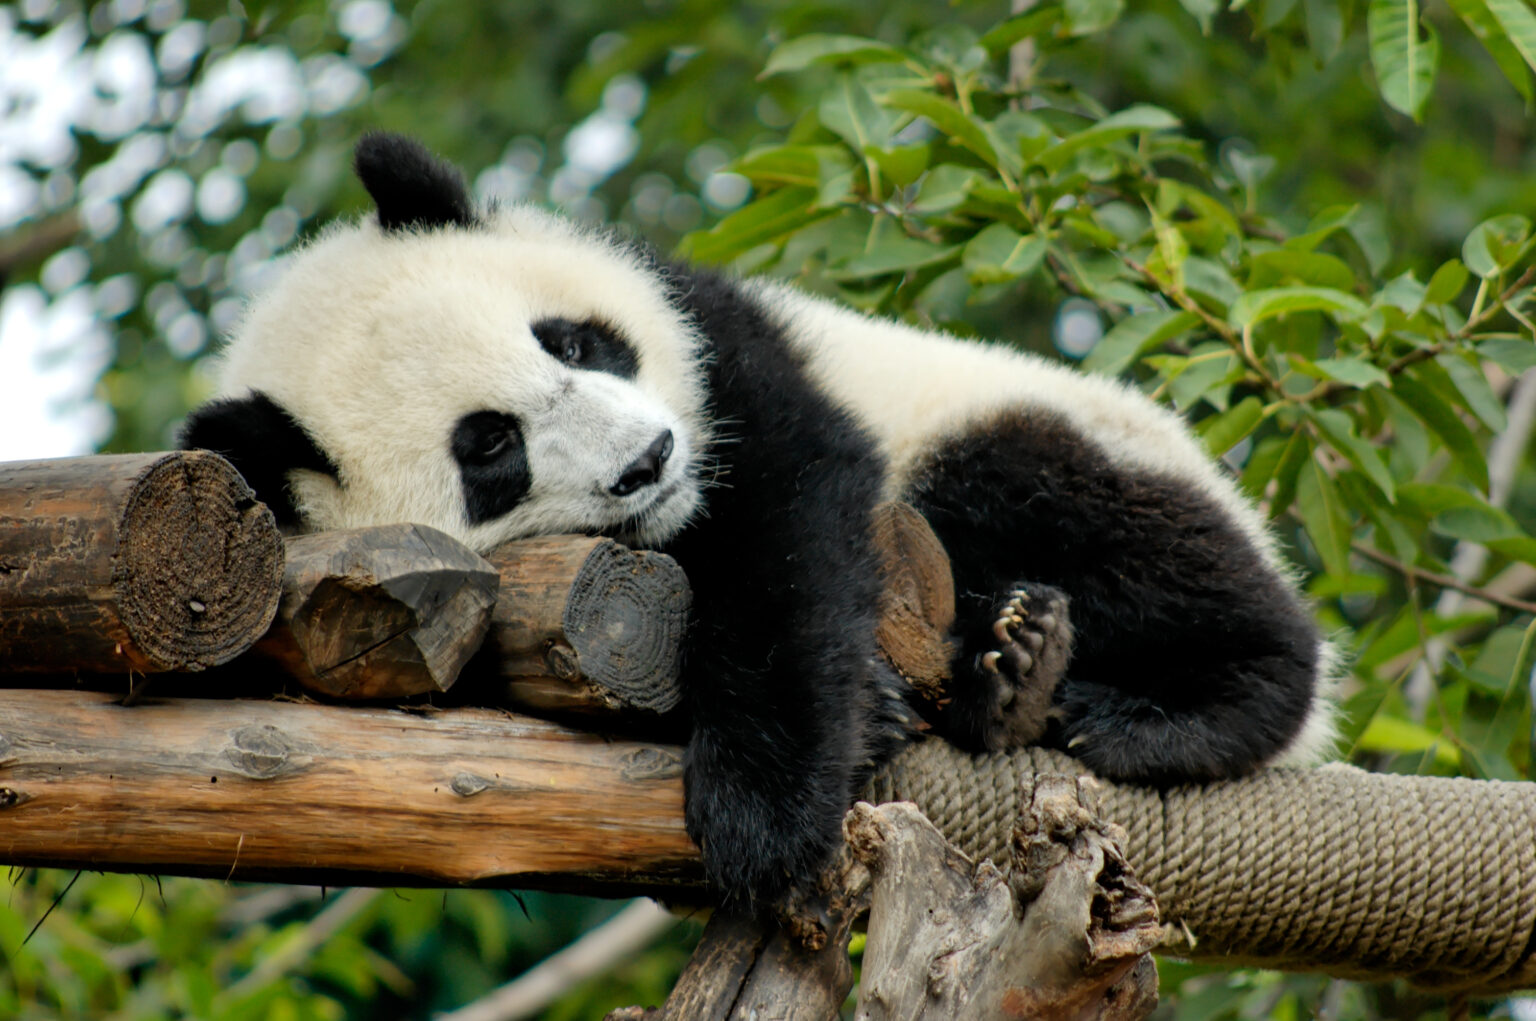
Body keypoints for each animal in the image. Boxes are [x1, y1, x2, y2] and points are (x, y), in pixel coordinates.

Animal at [183, 133, 1335, 910]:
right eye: (491, 448)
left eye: (571, 341)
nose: (649, 460)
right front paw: (860, 727)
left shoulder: (723, 350)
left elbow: (792, 530)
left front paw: (764, 809)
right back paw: (1011, 681)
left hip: (1035, 430)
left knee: (1082, 512)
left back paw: (1153, 703)